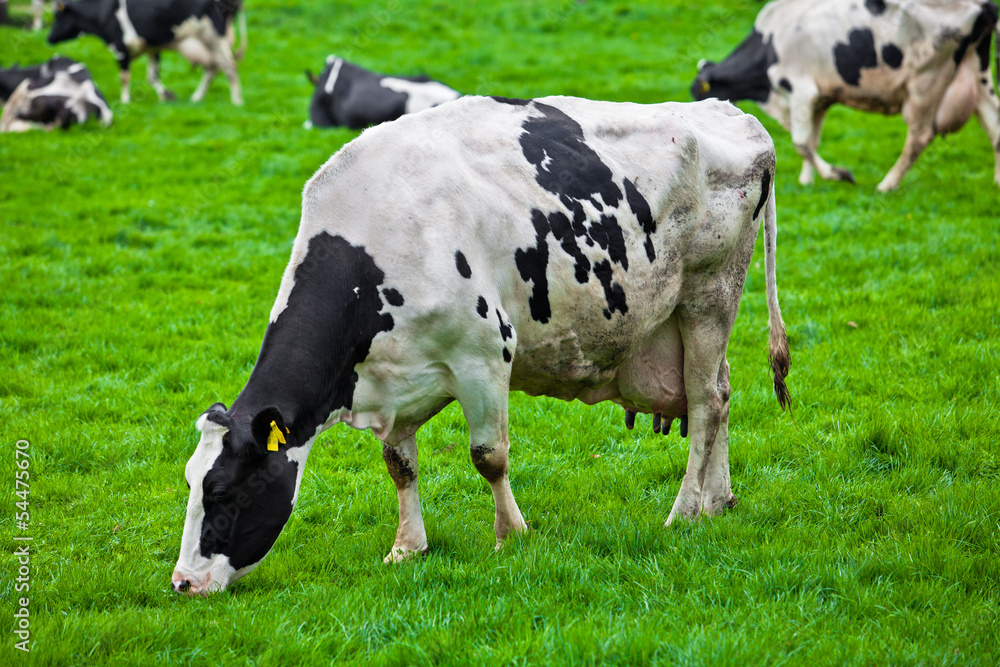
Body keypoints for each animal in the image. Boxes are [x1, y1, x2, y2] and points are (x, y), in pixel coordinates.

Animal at [47, 0, 247, 105]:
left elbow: (124, 76)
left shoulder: (120, 46)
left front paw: (125, 100)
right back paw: (197, 97)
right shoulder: (152, 48)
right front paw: (165, 96)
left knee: (229, 66)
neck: (103, 12)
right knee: (213, 68)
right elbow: (152, 76)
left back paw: (237, 101)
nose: (49, 38)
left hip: (212, 35)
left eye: (57, 15)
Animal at [176, 92, 792, 596]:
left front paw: (510, 534)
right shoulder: (396, 376)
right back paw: (718, 500)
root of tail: (731, 113)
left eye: (223, 492)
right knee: (720, 393)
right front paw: (407, 547)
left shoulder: (484, 355)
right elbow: (399, 465)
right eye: (189, 484)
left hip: (709, 295)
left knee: (706, 403)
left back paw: (684, 512)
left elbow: (488, 456)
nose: (183, 582)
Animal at [692, 0, 1000, 190]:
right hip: (978, 74)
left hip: (925, 82)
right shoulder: (821, 98)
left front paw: (838, 174)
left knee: (919, 136)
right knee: (994, 125)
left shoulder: (801, 90)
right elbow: (811, 141)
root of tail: (981, 4)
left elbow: (802, 143)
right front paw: (807, 180)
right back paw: (997, 181)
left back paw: (887, 184)